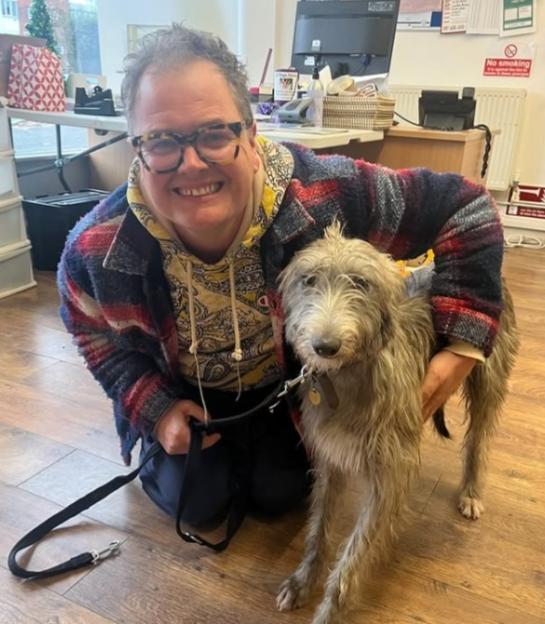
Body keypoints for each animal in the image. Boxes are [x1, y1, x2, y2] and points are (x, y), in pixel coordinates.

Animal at [276, 224, 520, 624]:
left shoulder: (388, 480)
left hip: (488, 374)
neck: (349, 376)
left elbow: (352, 561)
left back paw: (471, 491)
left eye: (361, 283)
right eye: (308, 280)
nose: (324, 346)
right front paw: (302, 581)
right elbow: (319, 527)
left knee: (478, 440)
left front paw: (329, 612)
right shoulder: (331, 458)